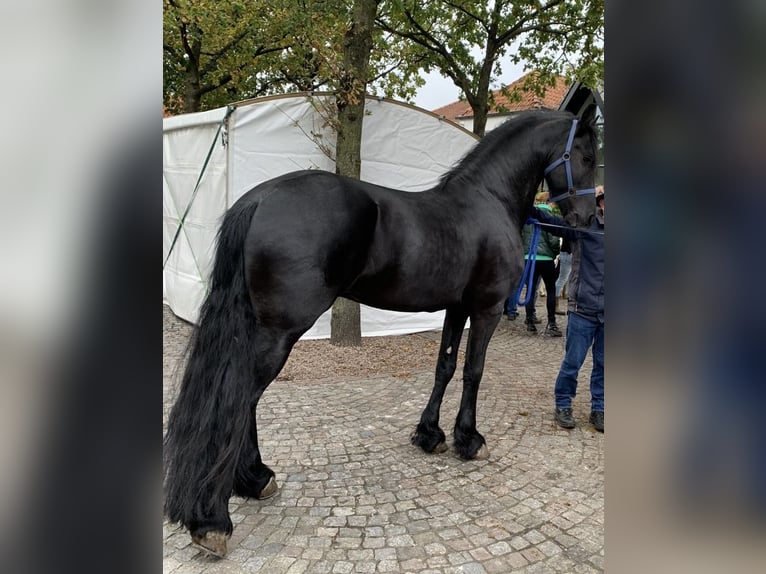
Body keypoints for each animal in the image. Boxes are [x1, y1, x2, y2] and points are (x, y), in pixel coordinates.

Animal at [163, 107, 599, 556]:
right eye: (586, 155)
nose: (586, 219)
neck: (487, 200)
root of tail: (261, 198)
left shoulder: (456, 308)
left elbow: (444, 368)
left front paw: (430, 434)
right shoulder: (487, 309)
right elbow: (473, 372)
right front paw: (469, 439)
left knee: (241, 397)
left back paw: (255, 479)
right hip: (279, 332)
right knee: (241, 396)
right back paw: (214, 517)